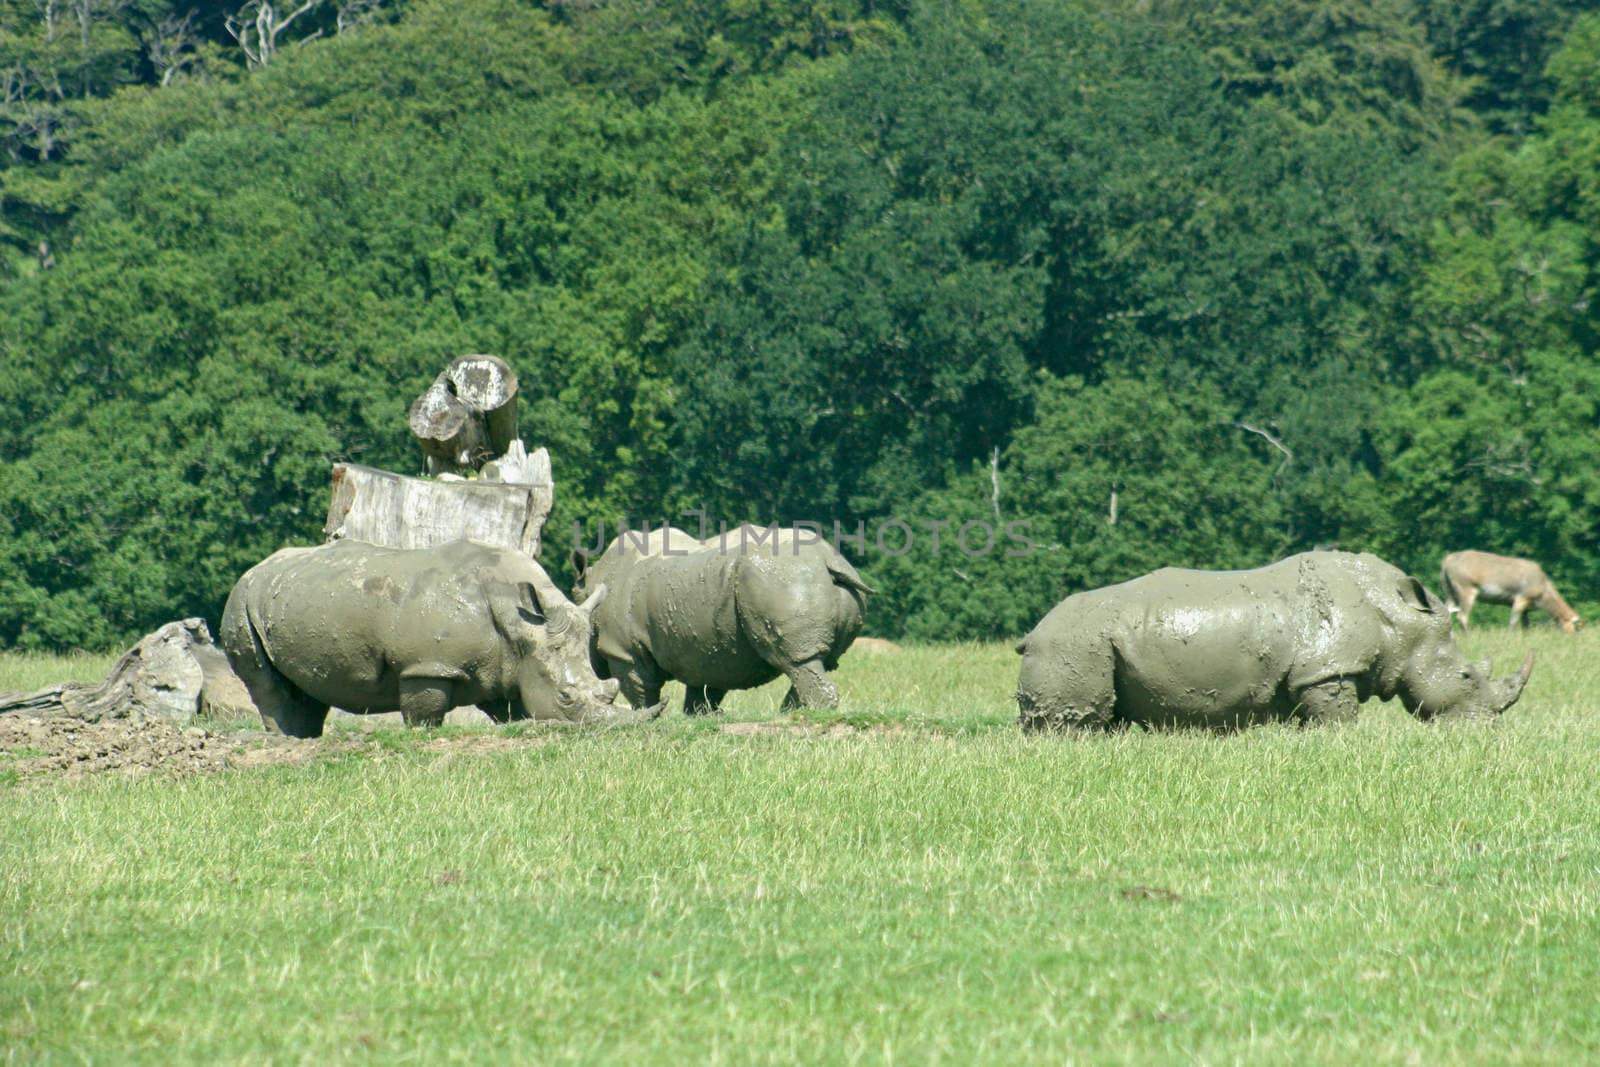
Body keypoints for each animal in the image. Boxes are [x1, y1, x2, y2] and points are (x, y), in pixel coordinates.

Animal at [220, 537, 643, 739]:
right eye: (565, 698)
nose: (608, 730)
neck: (520, 625)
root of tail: (255, 569)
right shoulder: (427, 667)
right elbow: (425, 717)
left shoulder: (506, 668)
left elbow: (513, 712)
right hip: (241, 603)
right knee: (267, 685)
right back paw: (287, 740)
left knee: (306, 692)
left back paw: (304, 739)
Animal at [572, 527, 876, 716]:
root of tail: (828, 561)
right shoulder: (710, 648)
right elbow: (706, 689)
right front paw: (703, 716)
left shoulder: (622, 649)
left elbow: (640, 690)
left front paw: (647, 715)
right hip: (815, 587)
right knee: (815, 663)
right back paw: (789, 713)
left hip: (784, 581)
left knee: (797, 661)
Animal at [1017, 550, 1529, 735]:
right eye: (1466, 676)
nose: (1487, 729)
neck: (1399, 622)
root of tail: (1033, 632)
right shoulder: (1326, 670)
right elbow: (1338, 722)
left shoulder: (1310, 677)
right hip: (1073, 644)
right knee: (1077, 725)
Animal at [1433, 550, 1580, 633]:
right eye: (1576, 628)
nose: (1573, 640)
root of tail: (1446, 561)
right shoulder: (1521, 598)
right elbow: (1513, 621)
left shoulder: (1526, 609)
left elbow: (1525, 625)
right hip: (1466, 589)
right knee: (1462, 616)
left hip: (1450, 592)